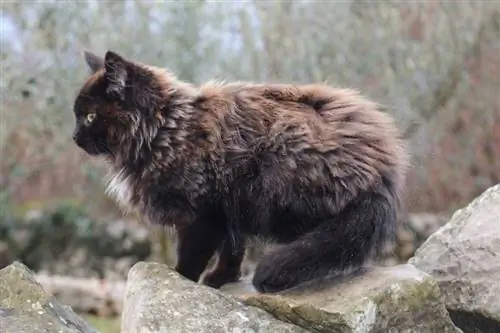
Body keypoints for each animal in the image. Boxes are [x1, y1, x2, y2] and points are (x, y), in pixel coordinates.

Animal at [74, 50, 410, 294]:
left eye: (89, 117)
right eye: (79, 117)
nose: (74, 137)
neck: (165, 129)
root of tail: (383, 175)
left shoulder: (204, 213)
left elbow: (193, 257)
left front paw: (178, 282)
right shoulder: (228, 208)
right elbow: (233, 249)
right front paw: (221, 279)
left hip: (275, 180)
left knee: (329, 240)